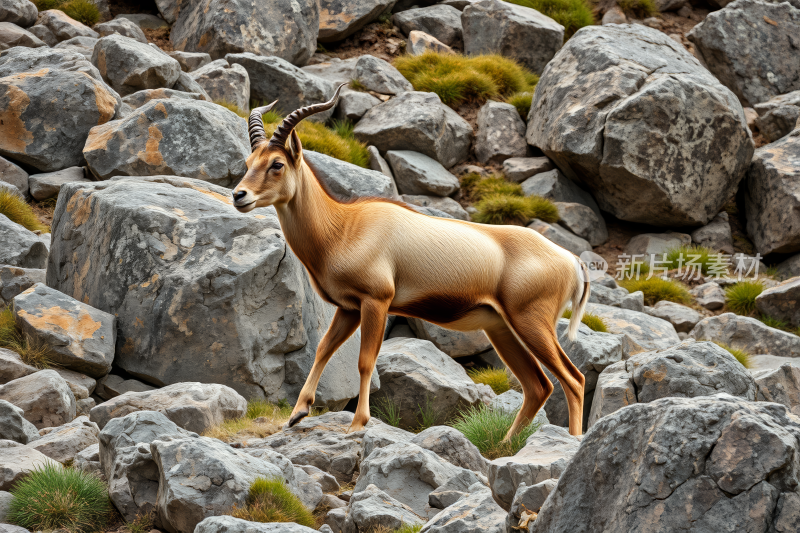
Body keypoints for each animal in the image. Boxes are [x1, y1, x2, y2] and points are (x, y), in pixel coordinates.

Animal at [228, 87, 592, 436]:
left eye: (277, 163)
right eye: (249, 160)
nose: (239, 195)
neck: (344, 227)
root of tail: (571, 261)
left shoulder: (376, 302)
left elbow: (365, 360)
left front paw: (357, 424)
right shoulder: (348, 309)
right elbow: (323, 350)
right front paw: (297, 414)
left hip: (531, 323)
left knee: (573, 379)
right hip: (502, 328)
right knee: (538, 386)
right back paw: (505, 444)